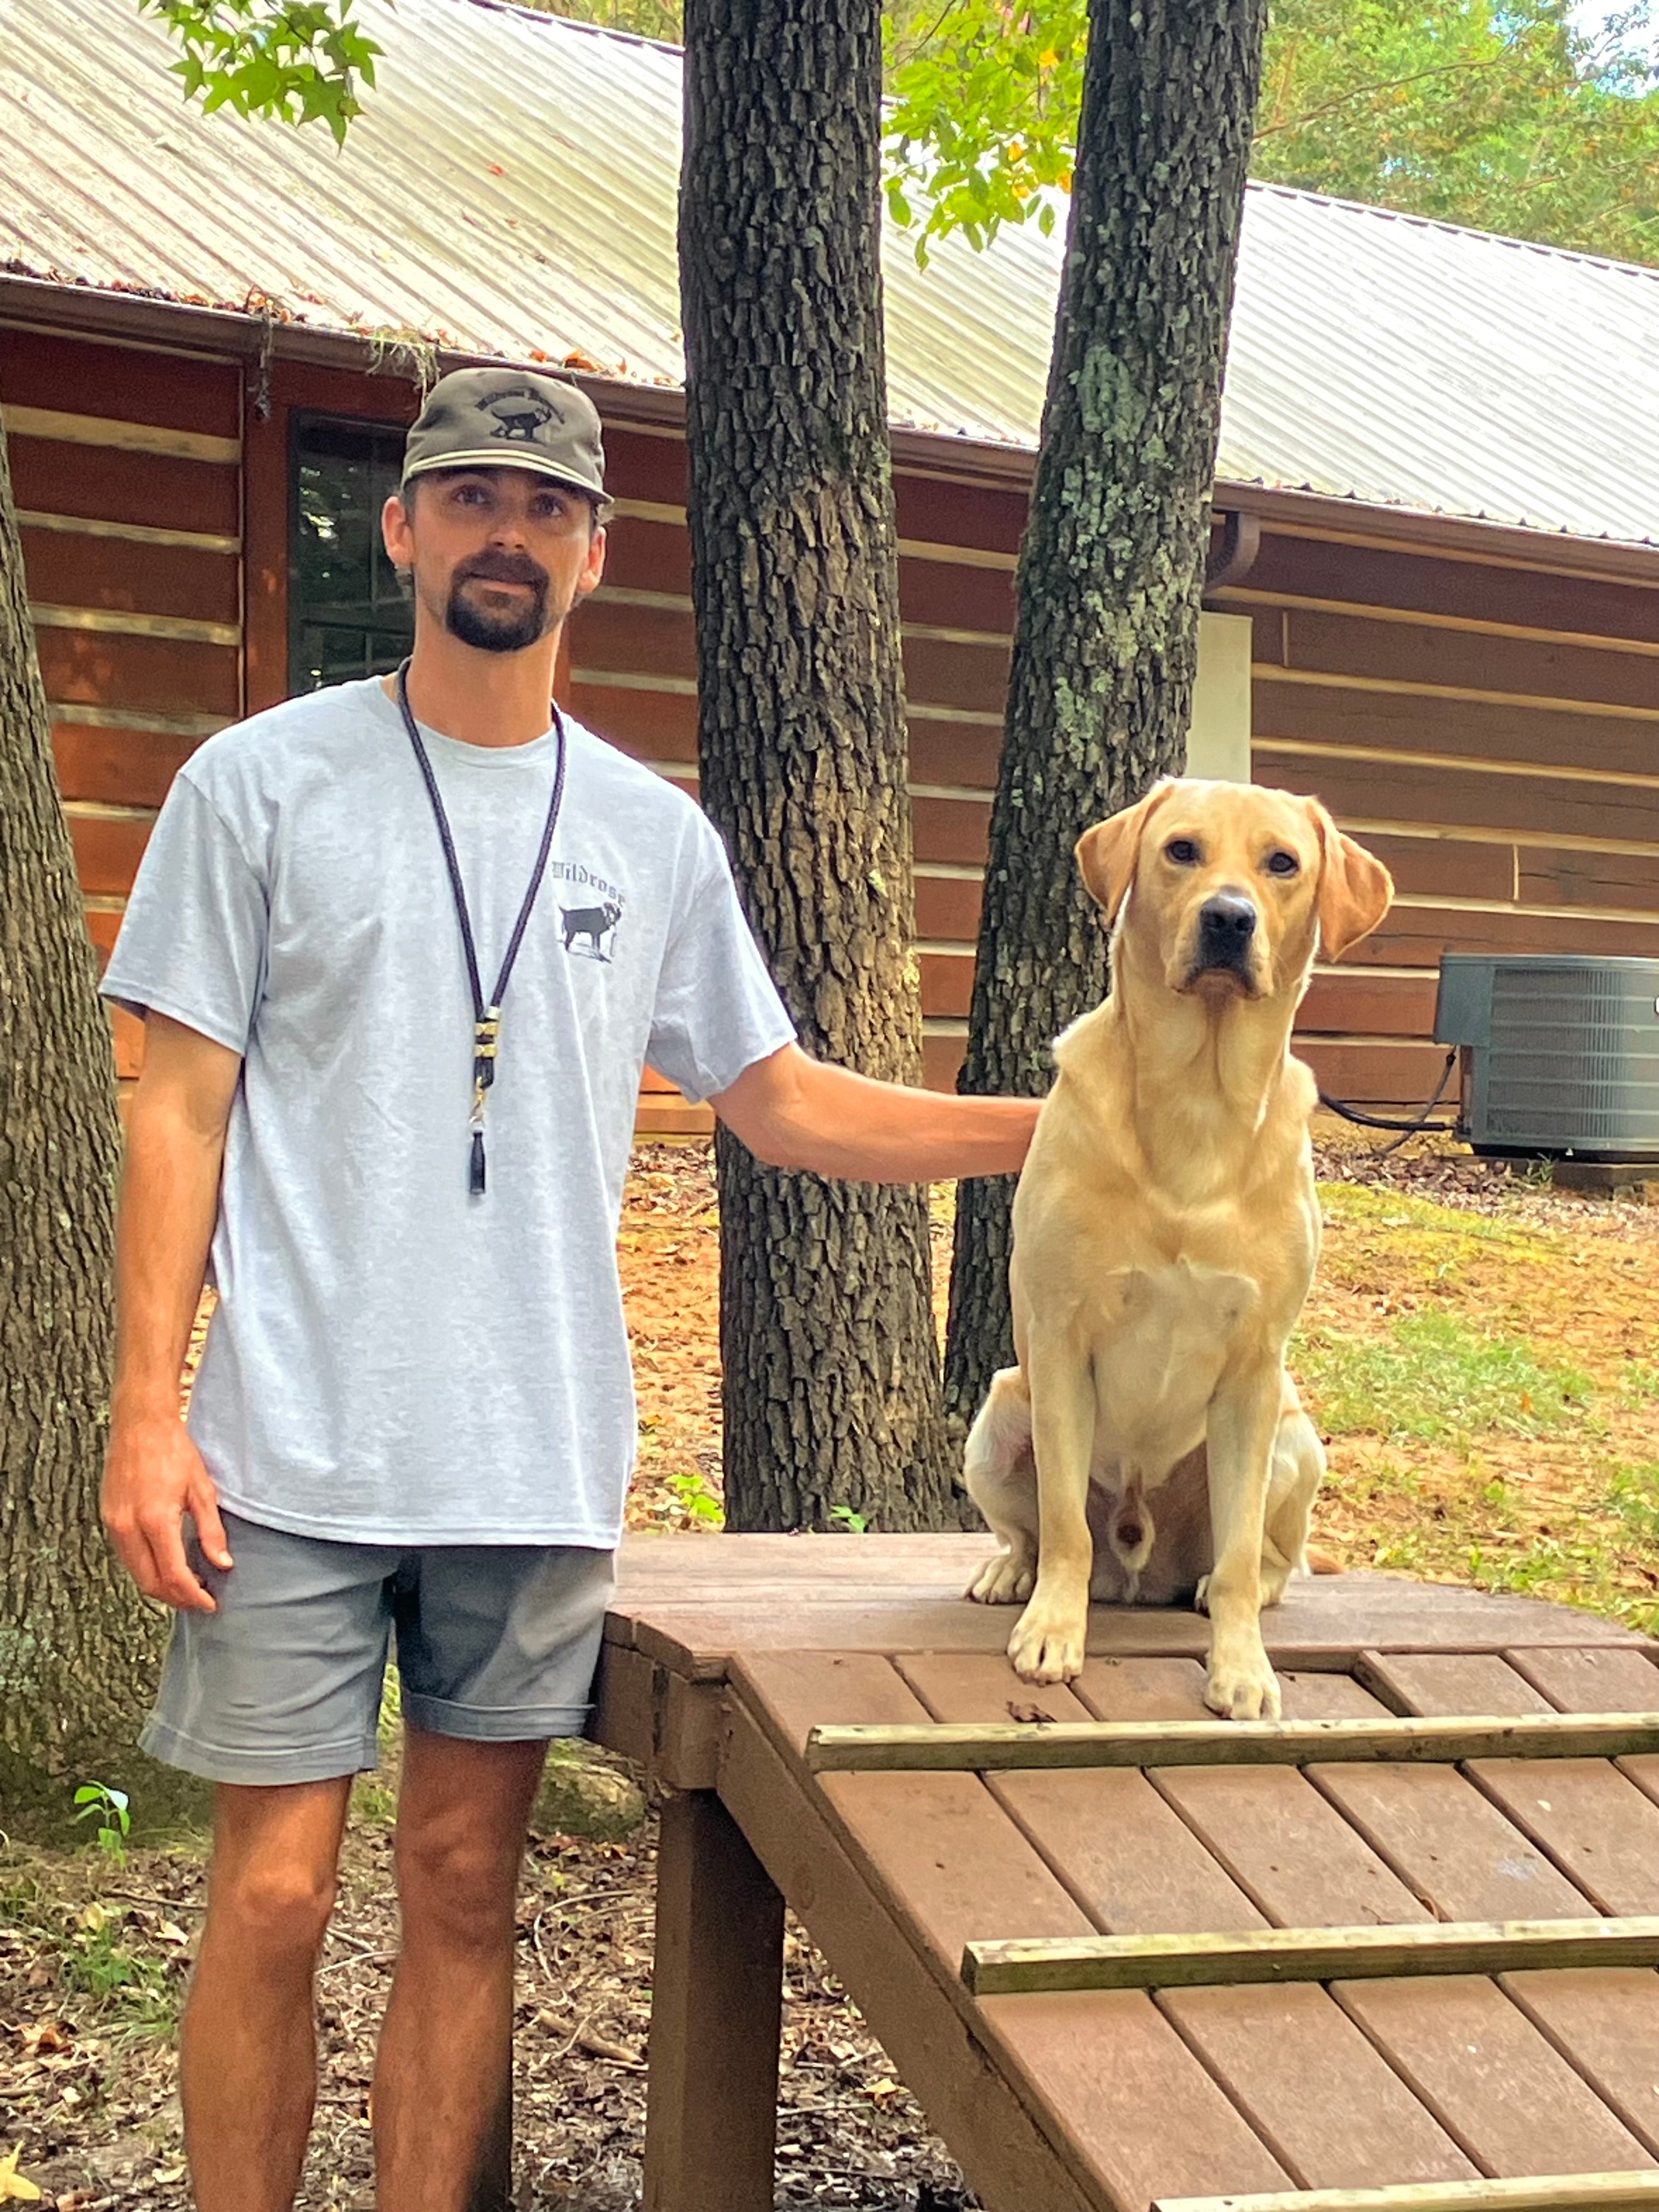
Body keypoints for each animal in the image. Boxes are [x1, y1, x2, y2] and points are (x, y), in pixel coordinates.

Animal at [969, 778, 1398, 1725]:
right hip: (1000, 1414)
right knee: (1037, 1530)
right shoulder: (1059, 1341)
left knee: (1271, 1560)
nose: (1229, 918)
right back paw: (1012, 1572)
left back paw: (1226, 1591)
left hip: (1293, 1437)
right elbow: (1063, 1523)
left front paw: (1241, 1669)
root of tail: (1144, 1560)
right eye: (1181, 851)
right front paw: (1052, 1632)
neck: (1198, 1101)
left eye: (1282, 863)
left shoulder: (1253, 1368)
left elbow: (1238, 1560)